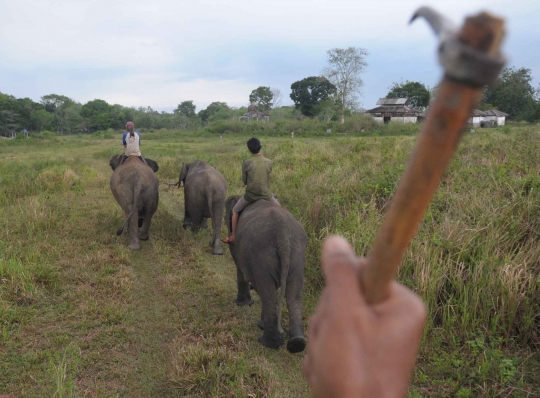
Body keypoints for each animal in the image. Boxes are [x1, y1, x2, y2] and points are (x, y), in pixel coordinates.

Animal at [225, 194, 308, 352]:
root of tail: (283, 236)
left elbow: (241, 271)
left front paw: (241, 304)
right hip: (297, 255)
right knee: (293, 297)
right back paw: (296, 344)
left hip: (262, 254)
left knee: (268, 295)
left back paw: (268, 342)